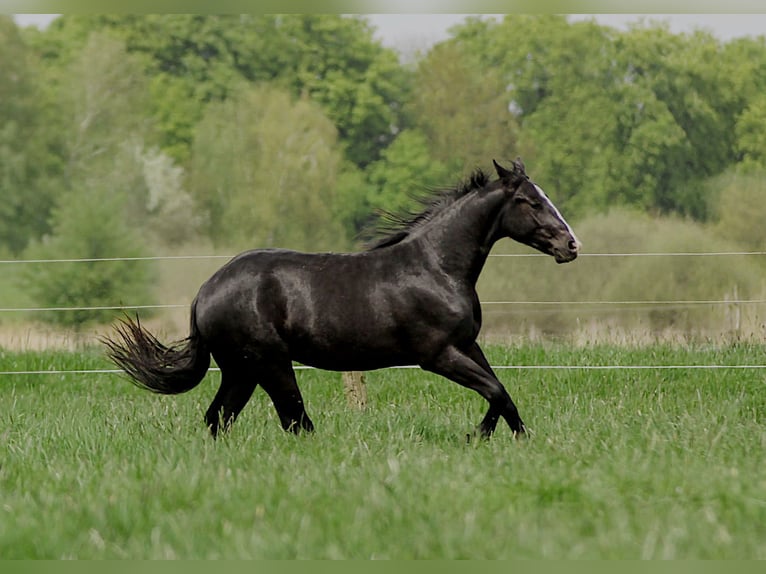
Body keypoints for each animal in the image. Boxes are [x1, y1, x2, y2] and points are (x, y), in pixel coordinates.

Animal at [104, 158, 580, 439]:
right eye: (529, 201)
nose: (570, 245)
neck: (436, 267)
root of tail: (205, 292)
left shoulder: (468, 345)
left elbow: (502, 394)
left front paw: (510, 438)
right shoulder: (438, 354)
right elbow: (495, 390)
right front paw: (480, 437)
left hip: (242, 370)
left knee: (220, 418)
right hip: (270, 364)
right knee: (294, 421)